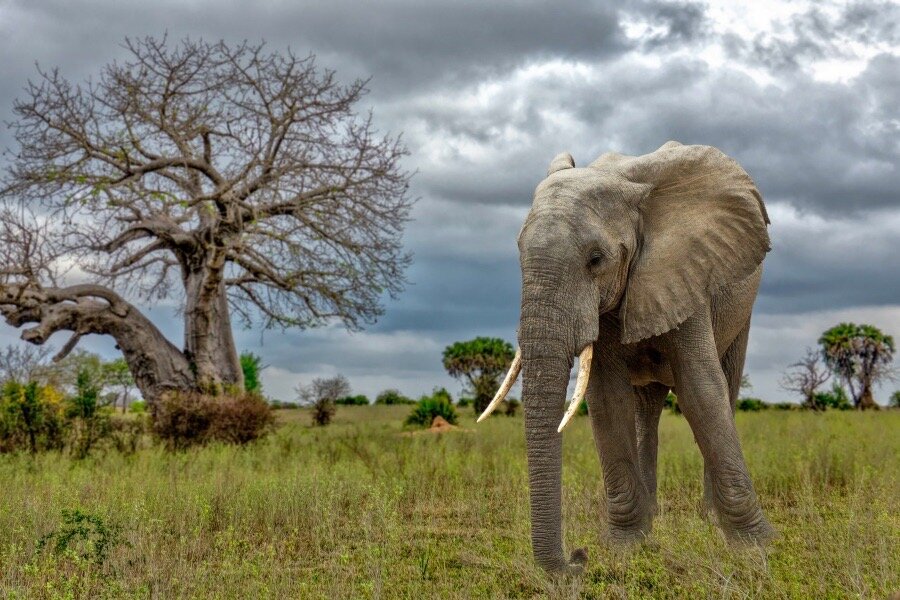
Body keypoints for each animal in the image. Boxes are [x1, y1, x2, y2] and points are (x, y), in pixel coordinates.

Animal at [478, 141, 776, 574]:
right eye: (518, 252)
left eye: (596, 259)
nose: (578, 557)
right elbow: (607, 401)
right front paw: (626, 546)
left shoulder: (685, 270)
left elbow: (701, 392)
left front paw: (758, 546)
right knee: (645, 411)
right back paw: (653, 519)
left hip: (741, 305)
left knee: (727, 384)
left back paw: (708, 518)